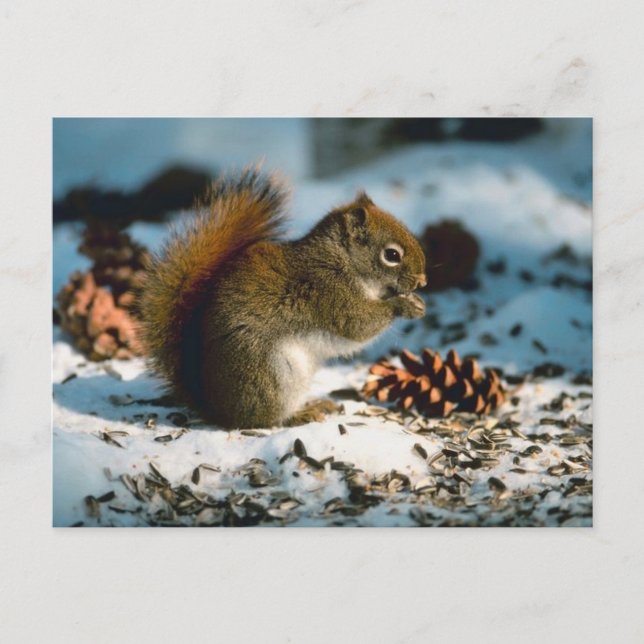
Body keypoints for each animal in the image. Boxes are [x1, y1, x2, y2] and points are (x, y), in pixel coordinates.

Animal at [138, 169, 427, 429]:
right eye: (391, 255)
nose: (422, 281)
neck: (342, 262)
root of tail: (215, 408)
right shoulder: (330, 293)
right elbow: (359, 325)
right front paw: (404, 305)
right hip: (271, 375)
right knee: (263, 419)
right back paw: (299, 415)